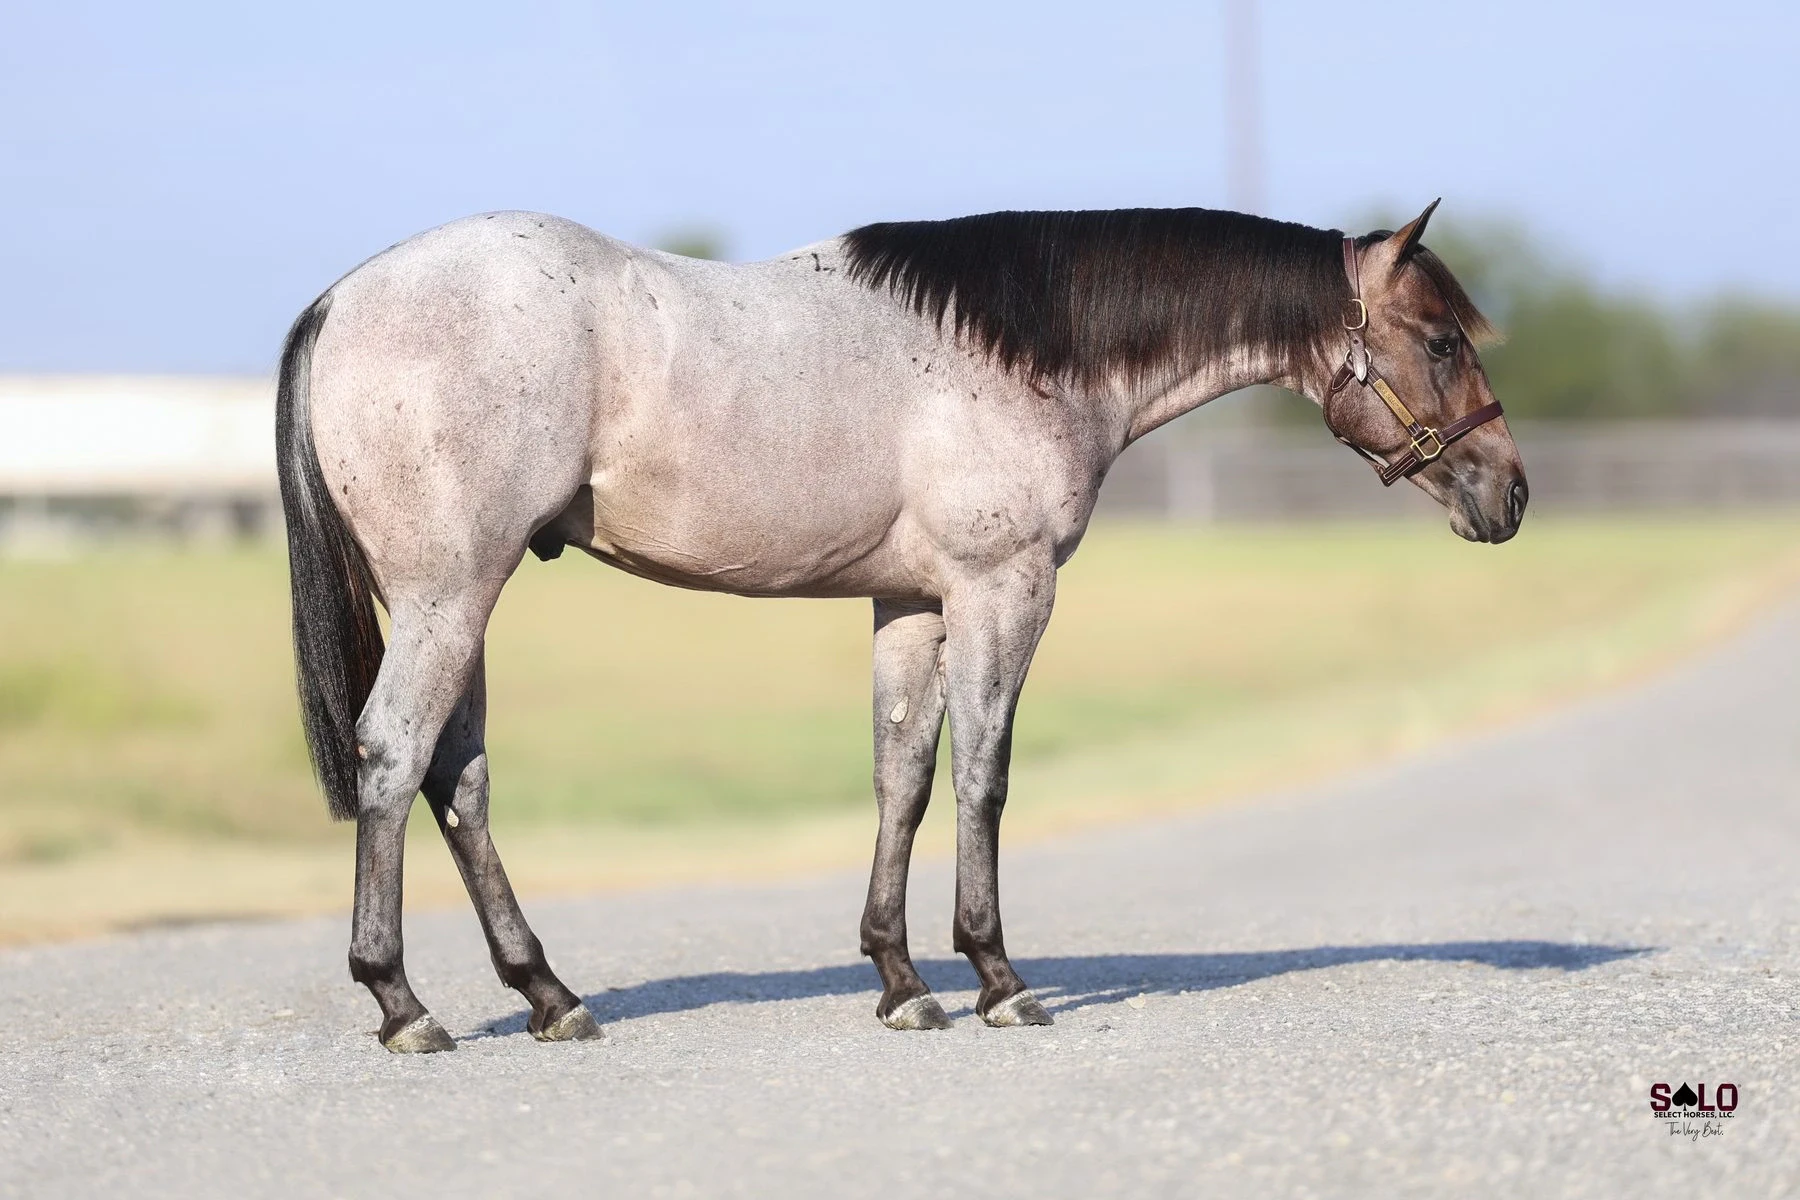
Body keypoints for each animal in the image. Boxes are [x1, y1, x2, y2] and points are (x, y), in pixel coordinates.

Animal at [276, 200, 1526, 1052]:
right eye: (1442, 342)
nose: (1508, 495)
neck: (1023, 351)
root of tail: (341, 301)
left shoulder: (912, 602)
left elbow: (903, 776)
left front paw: (901, 980)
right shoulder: (1001, 589)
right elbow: (983, 774)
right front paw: (997, 978)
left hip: (462, 600)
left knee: (460, 779)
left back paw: (549, 994)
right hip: (448, 592)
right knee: (395, 757)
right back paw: (403, 1003)